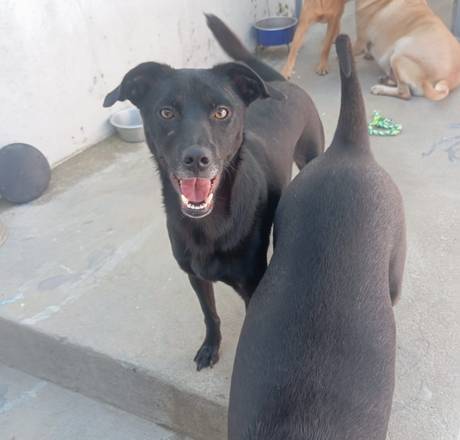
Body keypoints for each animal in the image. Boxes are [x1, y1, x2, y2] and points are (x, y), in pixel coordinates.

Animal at [103, 14, 324, 370]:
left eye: (222, 112)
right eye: (166, 112)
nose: (196, 159)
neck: (208, 224)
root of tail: (283, 84)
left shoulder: (253, 285)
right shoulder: (195, 276)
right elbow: (210, 315)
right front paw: (210, 347)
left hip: (311, 152)